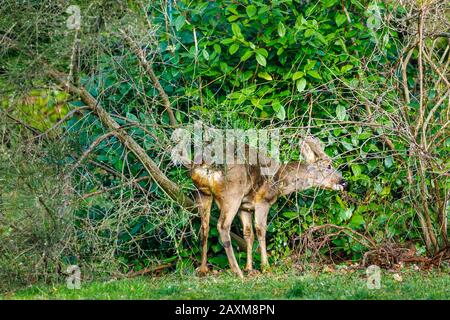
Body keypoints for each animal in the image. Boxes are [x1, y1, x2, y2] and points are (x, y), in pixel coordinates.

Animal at [188, 135, 346, 278]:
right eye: (329, 166)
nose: (344, 182)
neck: (281, 180)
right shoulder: (263, 201)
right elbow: (261, 230)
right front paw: (265, 267)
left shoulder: (245, 207)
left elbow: (248, 234)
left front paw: (250, 268)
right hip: (232, 193)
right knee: (222, 226)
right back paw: (237, 271)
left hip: (202, 192)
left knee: (205, 226)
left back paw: (203, 269)